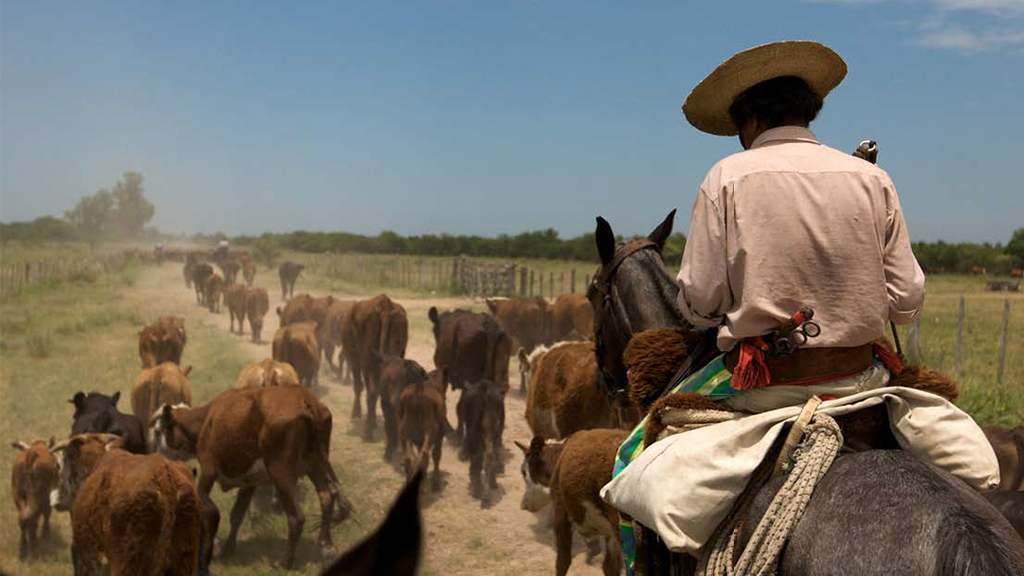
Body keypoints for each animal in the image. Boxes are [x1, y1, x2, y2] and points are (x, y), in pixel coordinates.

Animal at [149, 383, 354, 565]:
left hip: (282, 473)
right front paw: (227, 549)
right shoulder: (249, 482)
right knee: (327, 498)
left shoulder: (208, 470)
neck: (207, 420)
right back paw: (326, 546)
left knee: (297, 518)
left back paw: (284, 561)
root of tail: (306, 400)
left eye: (158, 431)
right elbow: (237, 515)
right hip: (316, 465)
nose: (157, 461)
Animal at [342, 293, 409, 424]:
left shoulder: (354, 360)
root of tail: (385, 308)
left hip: (367, 363)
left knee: (371, 391)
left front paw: (355, 414)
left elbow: (358, 385)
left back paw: (369, 426)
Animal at [516, 428, 626, 573]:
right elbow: (610, 566)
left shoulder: (561, 513)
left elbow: (562, 561)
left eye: (523, 472)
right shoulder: (610, 532)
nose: (523, 504)